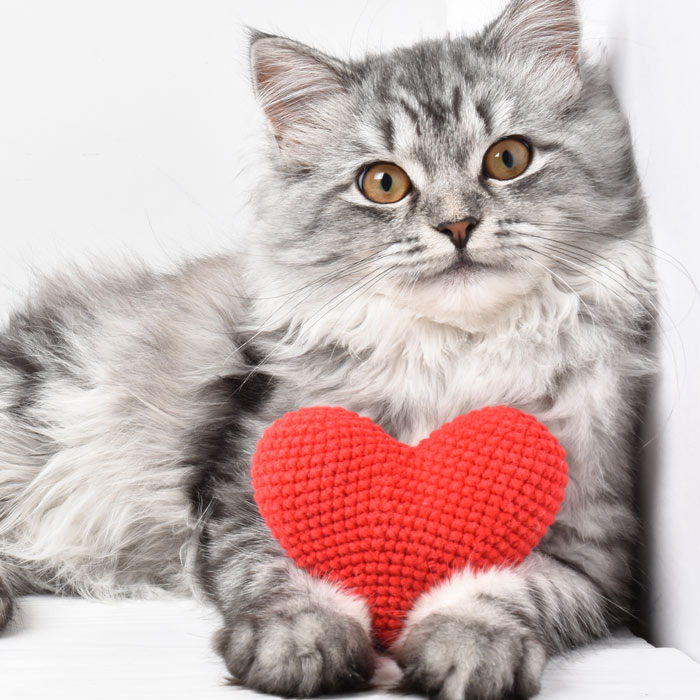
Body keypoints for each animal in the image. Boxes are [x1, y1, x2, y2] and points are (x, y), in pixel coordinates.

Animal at [0, 0, 656, 696]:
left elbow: (505, 593)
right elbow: (290, 578)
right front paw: (300, 642)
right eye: (384, 183)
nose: (456, 225)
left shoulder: (591, 555)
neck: (453, 356)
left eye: (508, 159)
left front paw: (468, 647)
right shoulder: (248, 500)